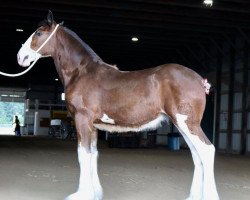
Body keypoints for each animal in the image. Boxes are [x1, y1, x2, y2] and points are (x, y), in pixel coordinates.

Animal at [16, 11, 219, 200]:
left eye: (39, 33)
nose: (20, 57)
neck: (82, 72)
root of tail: (199, 79)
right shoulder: (93, 125)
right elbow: (93, 154)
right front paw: (95, 193)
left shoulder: (82, 120)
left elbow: (83, 155)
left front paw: (82, 194)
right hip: (182, 125)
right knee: (196, 155)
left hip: (188, 124)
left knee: (207, 151)